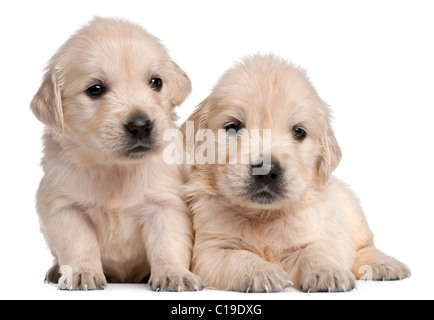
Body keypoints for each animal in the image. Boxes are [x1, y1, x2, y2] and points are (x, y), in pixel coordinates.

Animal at [30, 17, 203, 292]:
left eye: (156, 82)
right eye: (95, 89)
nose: (141, 126)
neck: (115, 167)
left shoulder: (166, 204)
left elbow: (167, 244)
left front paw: (174, 274)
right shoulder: (63, 206)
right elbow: (79, 242)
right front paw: (82, 272)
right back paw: (57, 271)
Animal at [185, 54, 412, 292]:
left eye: (299, 132)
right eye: (233, 127)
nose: (267, 170)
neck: (263, 216)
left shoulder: (319, 233)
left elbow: (316, 251)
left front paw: (328, 272)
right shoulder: (210, 250)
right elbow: (236, 256)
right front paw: (262, 271)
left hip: (354, 213)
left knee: (364, 247)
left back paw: (386, 265)